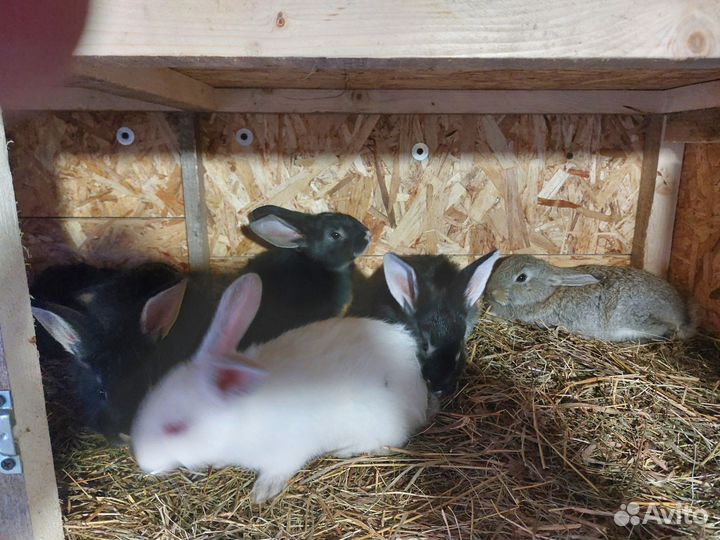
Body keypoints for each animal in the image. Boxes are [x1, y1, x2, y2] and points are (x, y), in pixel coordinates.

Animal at [131, 272, 430, 504]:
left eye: (176, 428)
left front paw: (262, 492)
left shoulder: (289, 451)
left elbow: (279, 469)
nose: (144, 461)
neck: (238, 421)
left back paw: (344, 450)